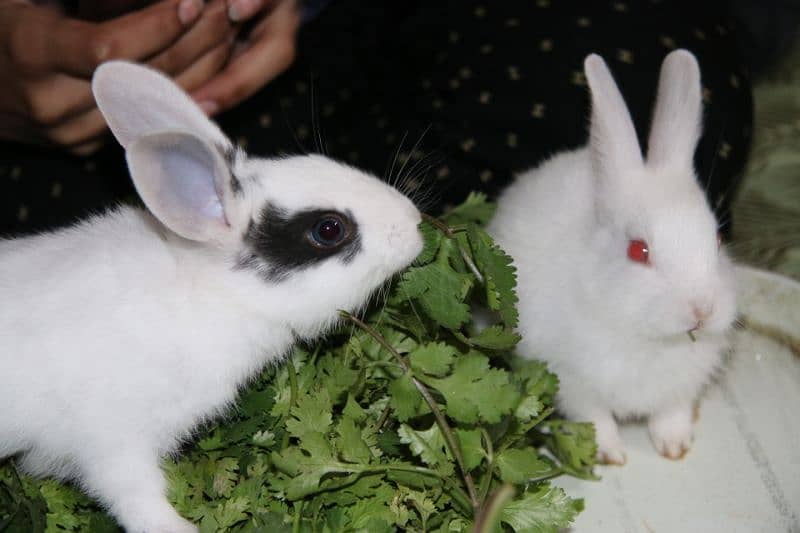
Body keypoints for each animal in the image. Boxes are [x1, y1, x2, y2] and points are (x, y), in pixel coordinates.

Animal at [0, 62, 424, 532]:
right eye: (328, 229)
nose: (415, 221)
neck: (209, 291)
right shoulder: (112, 440)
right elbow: (138, 500)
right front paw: (182, 528)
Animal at [490, 51, 740, 466]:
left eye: (718, 239)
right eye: (638, 250)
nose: (702, 310)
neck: (646, 335)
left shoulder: (679, 388)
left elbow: (670, 414)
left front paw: (675, 446)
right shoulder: (574, 382)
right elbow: (595, 420)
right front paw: (610, 455)